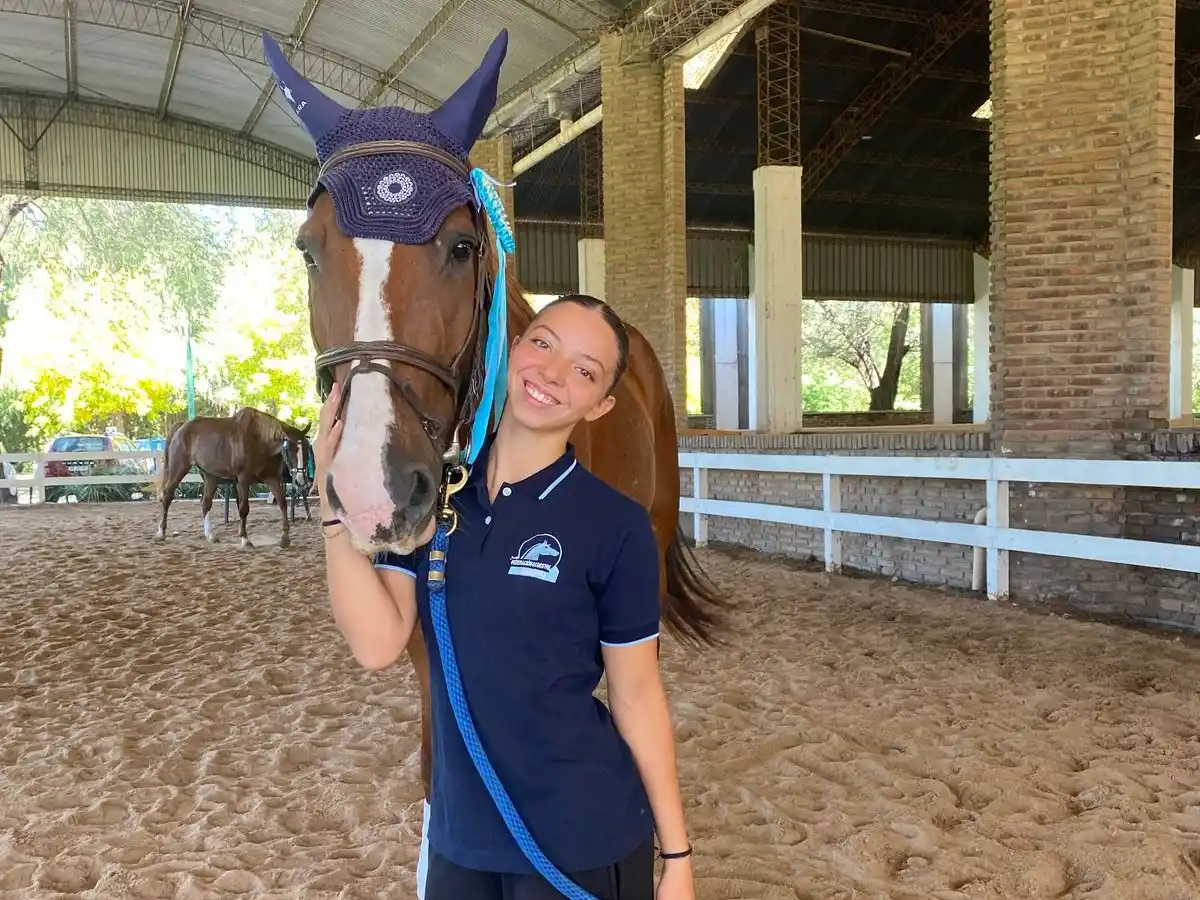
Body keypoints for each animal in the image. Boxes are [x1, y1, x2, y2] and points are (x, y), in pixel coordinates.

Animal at [155, 407, 312, 549]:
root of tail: (182, 427)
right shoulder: (243, 479)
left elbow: (283, 503)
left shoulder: (271, 478)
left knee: (205, 503)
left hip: (210, 476)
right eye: (290, 449)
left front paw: (285, 538)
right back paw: (161, 533)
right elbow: (244, 508)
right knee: (167, 496)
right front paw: (244, 539)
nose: (300, 480)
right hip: (178, 469)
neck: (259, 440)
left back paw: (210, 535)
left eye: (307, 449)